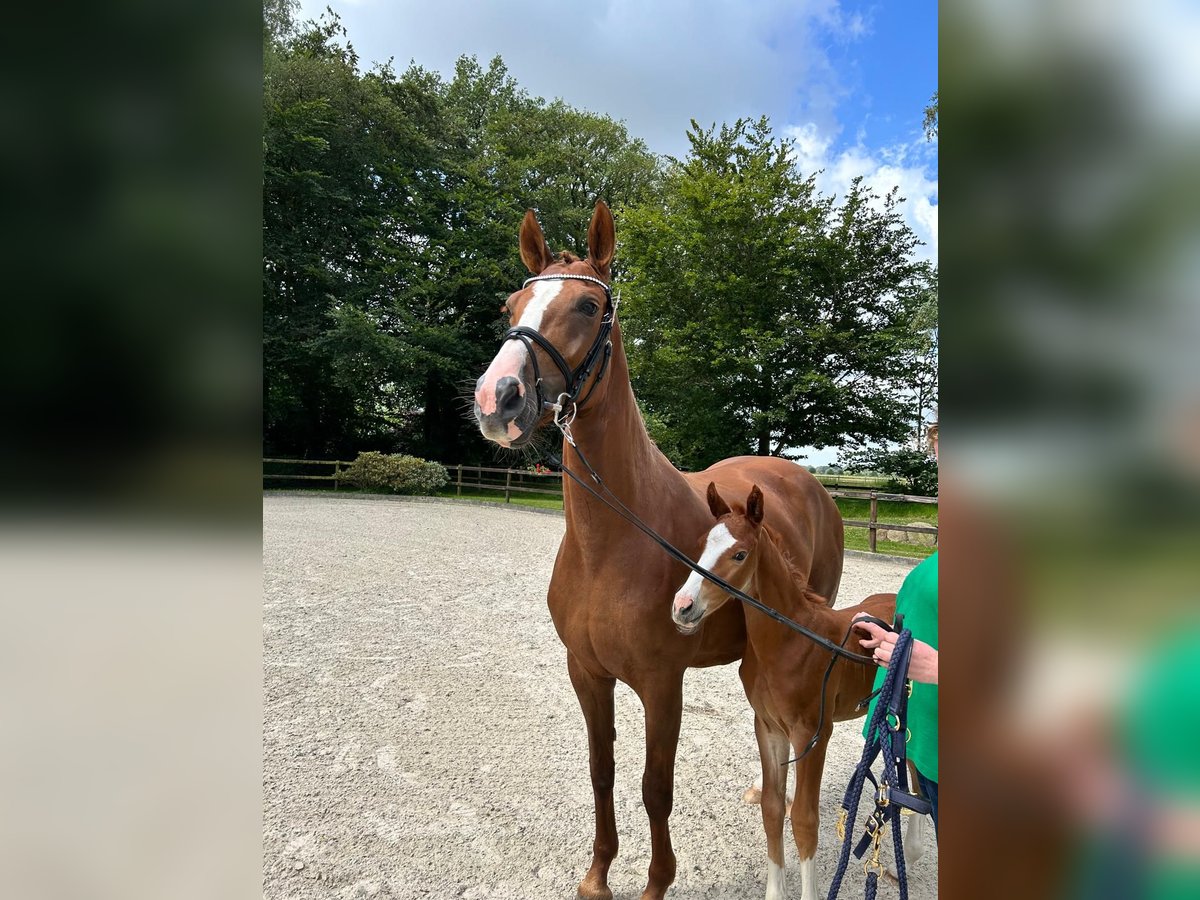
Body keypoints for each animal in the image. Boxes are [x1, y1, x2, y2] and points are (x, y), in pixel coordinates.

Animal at [672, 487, 897, 900]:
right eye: (700, 545)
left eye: (740, 554)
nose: (683, 607)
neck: (789, 642)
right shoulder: (768, 727)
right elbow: (773, 809)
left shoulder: (813, 733)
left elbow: (805, 819)